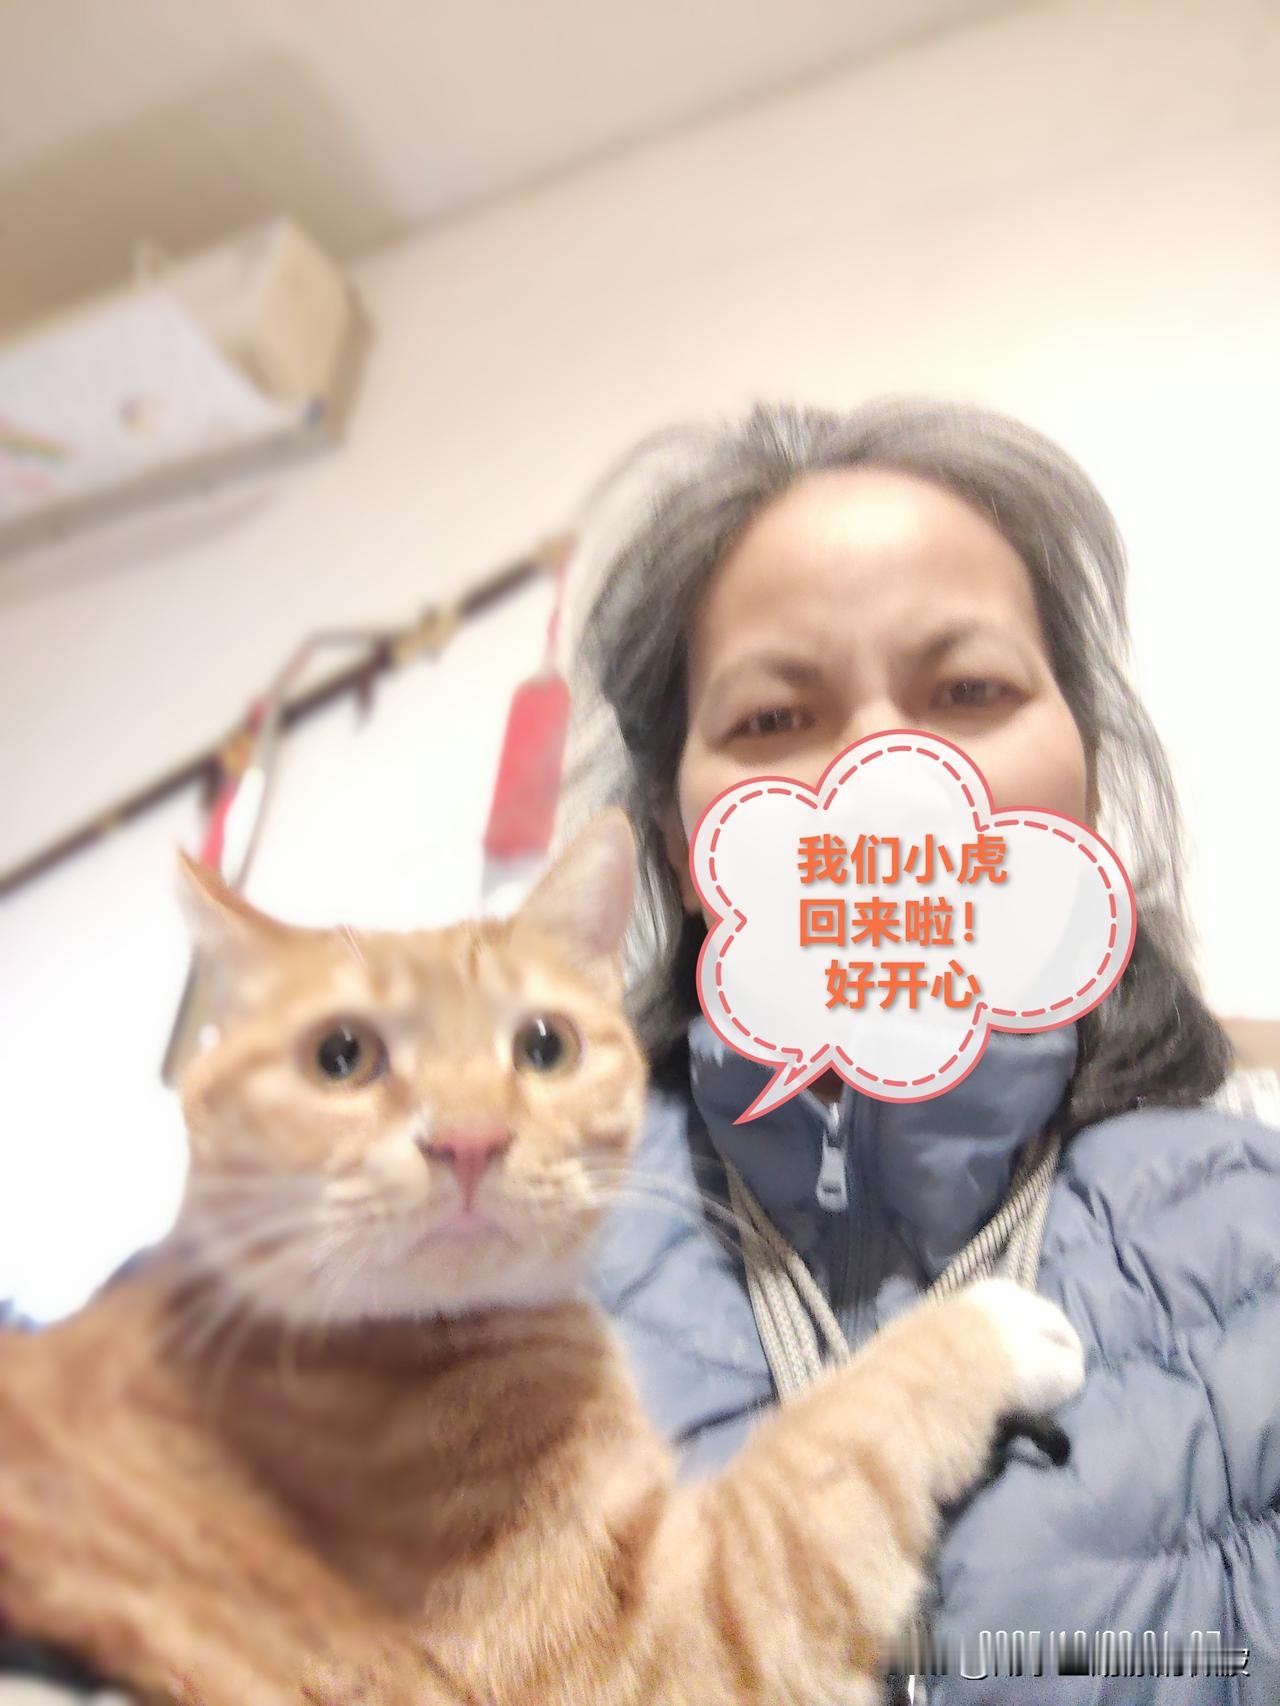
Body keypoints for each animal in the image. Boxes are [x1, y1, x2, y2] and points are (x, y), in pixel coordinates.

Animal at [0, 808, 1084, 1706]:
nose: (469, 1140)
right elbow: (838, 1436)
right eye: (341, 1056)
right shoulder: (664, 1643)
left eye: (545, 1046)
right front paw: (986, 1326)